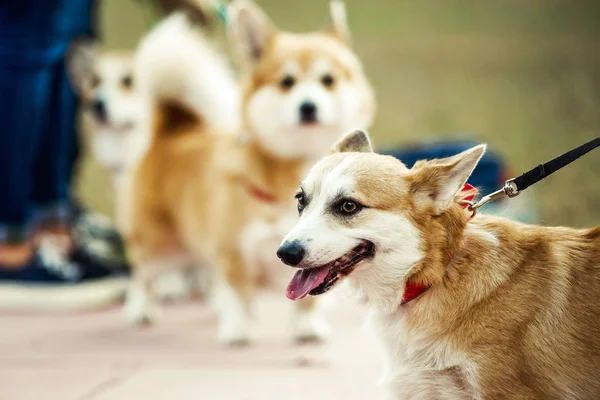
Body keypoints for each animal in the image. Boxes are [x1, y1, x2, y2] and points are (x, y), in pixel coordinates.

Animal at [123, 0, 376, 344]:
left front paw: (308, 327)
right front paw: (239, 330)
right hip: (158, 242)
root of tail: (175, 127)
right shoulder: (234, 248)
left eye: (328, 80)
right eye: (287, 82)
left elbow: (308, 294)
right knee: (142, 273)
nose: (308, 107)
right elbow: (239, 291)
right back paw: (140, 309)